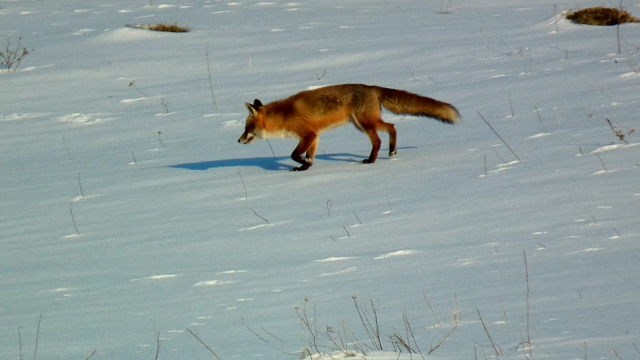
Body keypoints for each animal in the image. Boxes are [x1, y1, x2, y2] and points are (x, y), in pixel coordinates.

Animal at [238, 83, 458, 171]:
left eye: (247, 128)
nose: (238, 140)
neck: (284, 115)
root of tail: (371, 87)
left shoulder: (307, 134)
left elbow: (295, 154)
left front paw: (301, 164)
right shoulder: (315, 136)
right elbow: (310, 156)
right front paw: (304, 168)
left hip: (365, 124)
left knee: (378, 140)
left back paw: (371, 161)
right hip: (364, 124)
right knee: (392, 127)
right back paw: (392, 151)